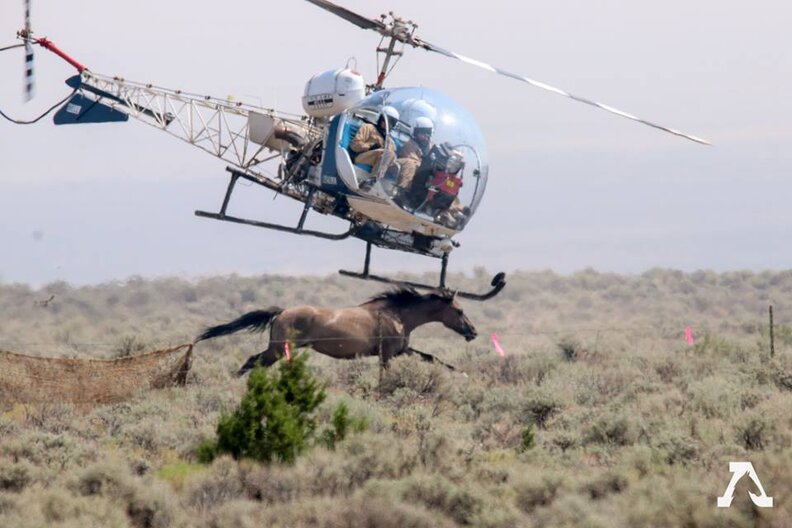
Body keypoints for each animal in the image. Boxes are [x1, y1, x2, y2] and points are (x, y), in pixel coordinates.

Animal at [195, 287, 477, 376]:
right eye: (460, 311)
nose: (473, 332)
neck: (398, 315)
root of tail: (282, 311)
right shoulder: (387, 354)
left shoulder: (401, 350)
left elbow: (431, 357)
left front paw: (461, 373)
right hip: (277, 350)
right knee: (253, 361)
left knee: (253, 362)